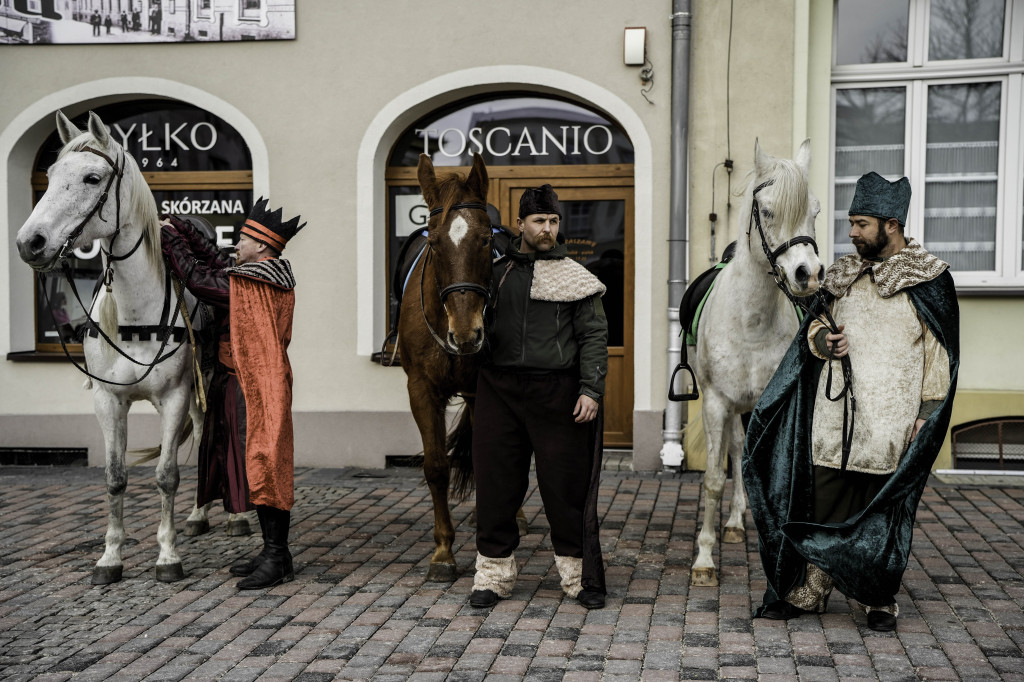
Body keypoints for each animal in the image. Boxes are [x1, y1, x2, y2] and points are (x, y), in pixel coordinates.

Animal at [15, 109, 241, 581]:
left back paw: (234, 517)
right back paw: (197, 516)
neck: (136, 316)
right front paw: (110, 557)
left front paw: (167, 556)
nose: (31, 242)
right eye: (50, 175)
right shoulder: (108, 400)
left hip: (210, 382)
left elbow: (167, 474)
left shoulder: (174, 397)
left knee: (216, 434)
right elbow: (115, 477)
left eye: (92, 177)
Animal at [688, 138, 823, 585]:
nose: (809, 274)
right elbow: (715, 479)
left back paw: (735, 523)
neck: (750, 321)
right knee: (732, 448)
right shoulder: (716, 402)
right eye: (765, 210)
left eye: (815, 210)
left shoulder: (772, 403)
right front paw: (704, 560)